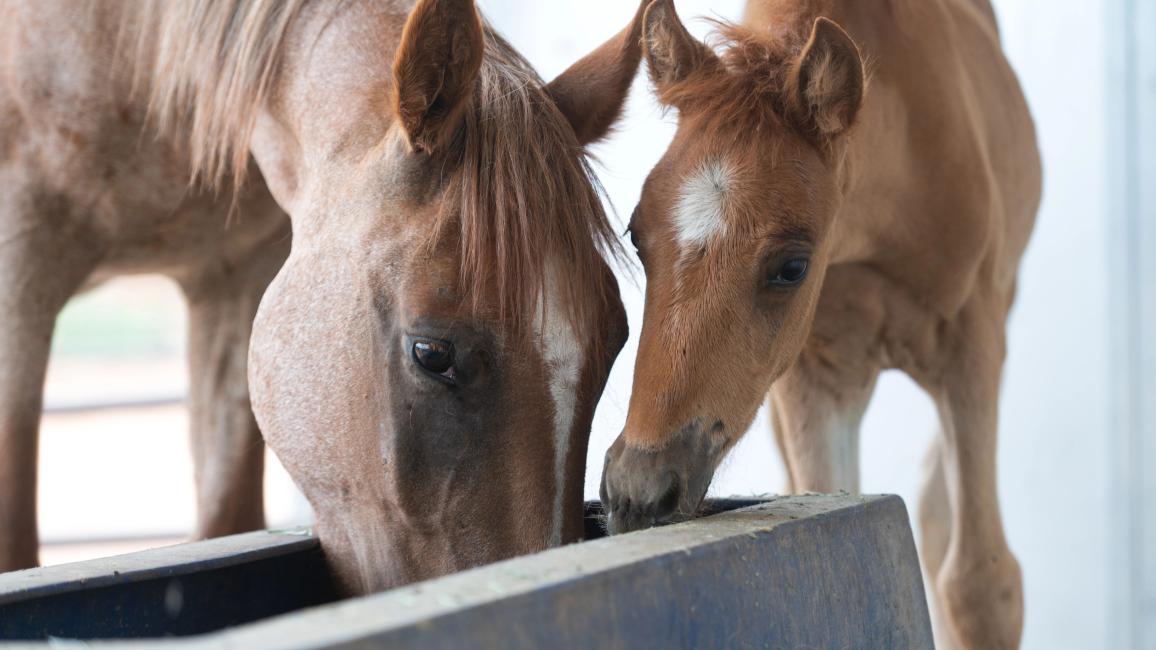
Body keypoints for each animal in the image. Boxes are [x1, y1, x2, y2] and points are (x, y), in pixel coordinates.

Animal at [599, 1, 1040, 648]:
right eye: (635, 235)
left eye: (792, 266)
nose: (639, 492)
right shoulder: (815, 377)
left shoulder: (972, 347)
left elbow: (983, 582)